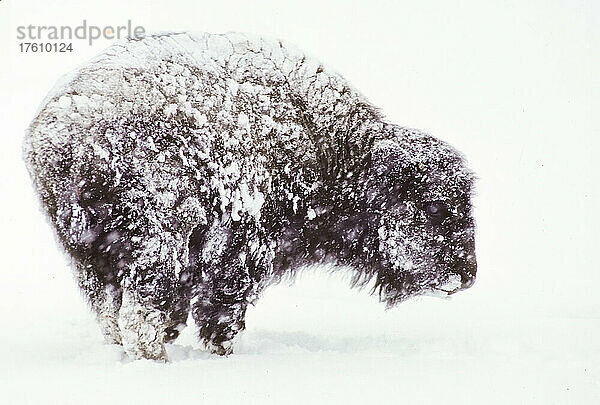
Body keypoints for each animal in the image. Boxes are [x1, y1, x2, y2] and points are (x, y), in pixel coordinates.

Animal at [23, 32, 476, 360]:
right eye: (435, 207)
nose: (466, 275)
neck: (339, 156)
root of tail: (62, 132)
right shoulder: (240, 253)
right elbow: (222, 310)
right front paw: (223, 352)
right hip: (159, 244)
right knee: (139, 312)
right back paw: (156, 360)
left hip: (90, 257)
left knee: (112, 313)